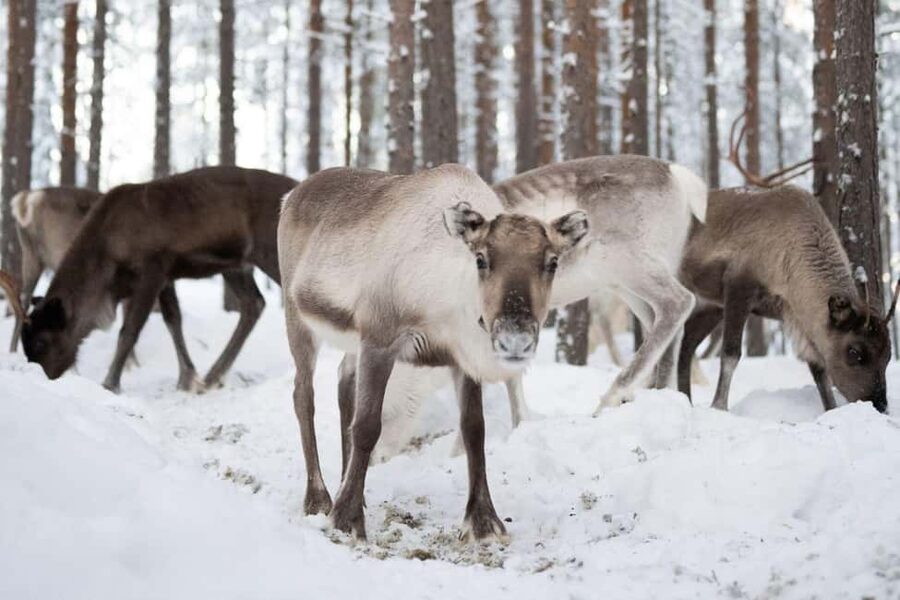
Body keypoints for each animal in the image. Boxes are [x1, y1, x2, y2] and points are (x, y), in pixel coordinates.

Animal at [20, 166, 297, 393]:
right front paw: (187, 378)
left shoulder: (151, 271)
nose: (44, 376)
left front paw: (110, 383)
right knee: (254, 304)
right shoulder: (167, 277)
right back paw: (212, 376)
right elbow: (173, 320)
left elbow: (129, 330)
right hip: (235, 264)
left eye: (42, 341)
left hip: (268, 253)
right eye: (25, 341)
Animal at [279, 164, 590, 542]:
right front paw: (347, 520)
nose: (514, 339)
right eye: (481, 259)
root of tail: (292, 195)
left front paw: (483, 520)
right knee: (303, 395)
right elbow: (367, 426)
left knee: (343, 383)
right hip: (297, 317)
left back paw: (343, 487)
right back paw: (319, 498)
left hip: (350, 340)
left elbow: (474, 430)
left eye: (553, 262)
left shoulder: (462, 361)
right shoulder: (380, 338)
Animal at [675, 112, 893, 413]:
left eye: (888, 354)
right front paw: (719, 406)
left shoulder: (794, 315)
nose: (879, 404)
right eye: (855, 352)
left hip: (708, 306)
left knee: (685, 346)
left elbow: (819, 369)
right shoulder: (739, 285)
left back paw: (681, 397)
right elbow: (731, 354)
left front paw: (831, 409)